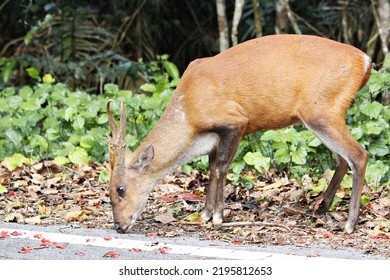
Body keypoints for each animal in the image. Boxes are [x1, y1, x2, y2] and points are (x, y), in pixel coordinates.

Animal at [106, 34, 372, 234]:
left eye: (120, 189)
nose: (119, 226)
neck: (189, 115)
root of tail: (365, 60)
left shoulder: (236, 121)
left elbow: (221, 168)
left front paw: (217, 217)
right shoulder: (213, 138)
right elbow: (211, 169)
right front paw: (204, 214)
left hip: (321, 109)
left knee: (359, 154)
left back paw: (349, 224)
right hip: (323, 114)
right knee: (342, 159)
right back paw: (320, 209)